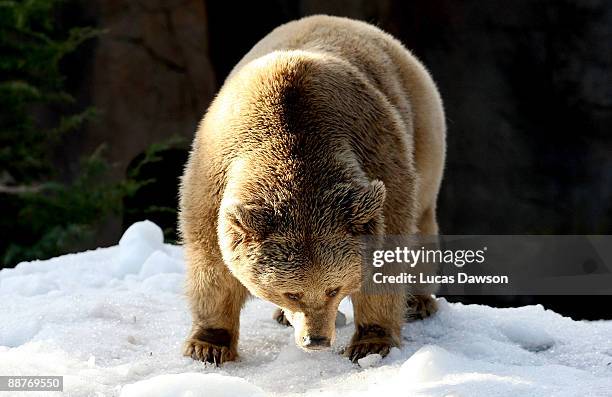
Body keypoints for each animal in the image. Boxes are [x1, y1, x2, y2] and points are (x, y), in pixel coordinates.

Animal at [178, 13, 444, 364]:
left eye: (333, 288)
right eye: (291, 292)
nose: (315, 339)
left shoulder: (379, 163)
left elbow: (386, 259)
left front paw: (371, 342)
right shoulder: (212, 178)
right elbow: (211, 265)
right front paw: (207, 346)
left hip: (423, 127)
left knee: (423, 215)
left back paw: (419, 302)